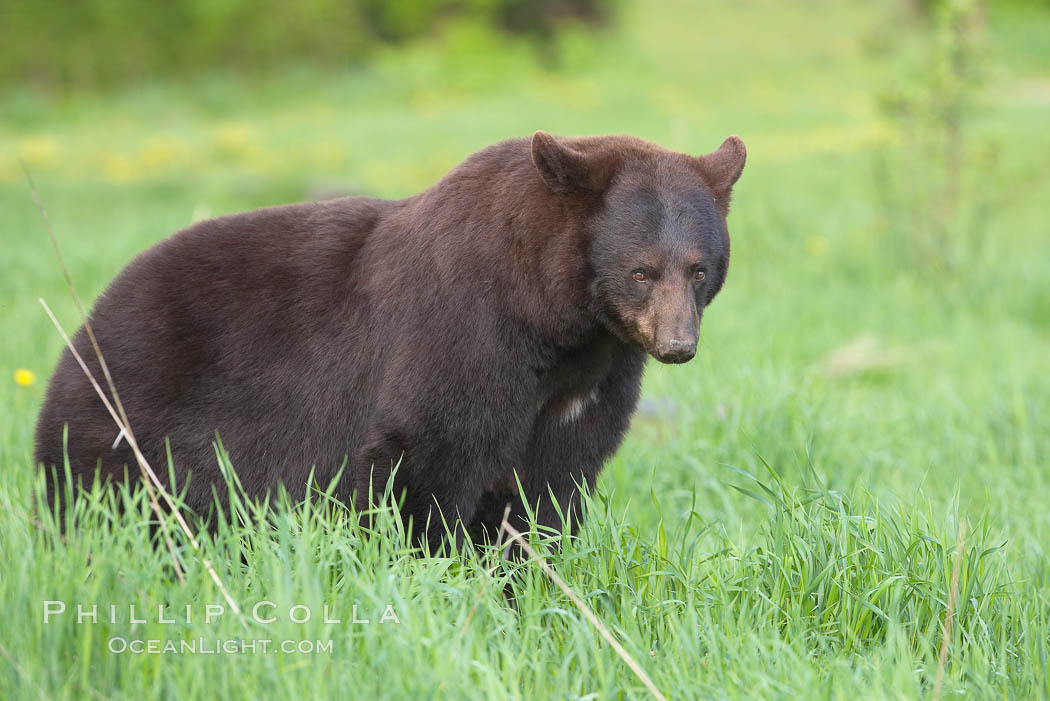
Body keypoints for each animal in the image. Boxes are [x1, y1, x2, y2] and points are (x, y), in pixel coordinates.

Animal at [37, 130, 747, 545]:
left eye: (699, 268)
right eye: (641, 270)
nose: (677, 345)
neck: (555, 322)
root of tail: (83, 331)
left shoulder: (593, 377)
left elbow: (552, 482)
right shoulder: (463, 336)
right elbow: (424, 460)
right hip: (135, 419)